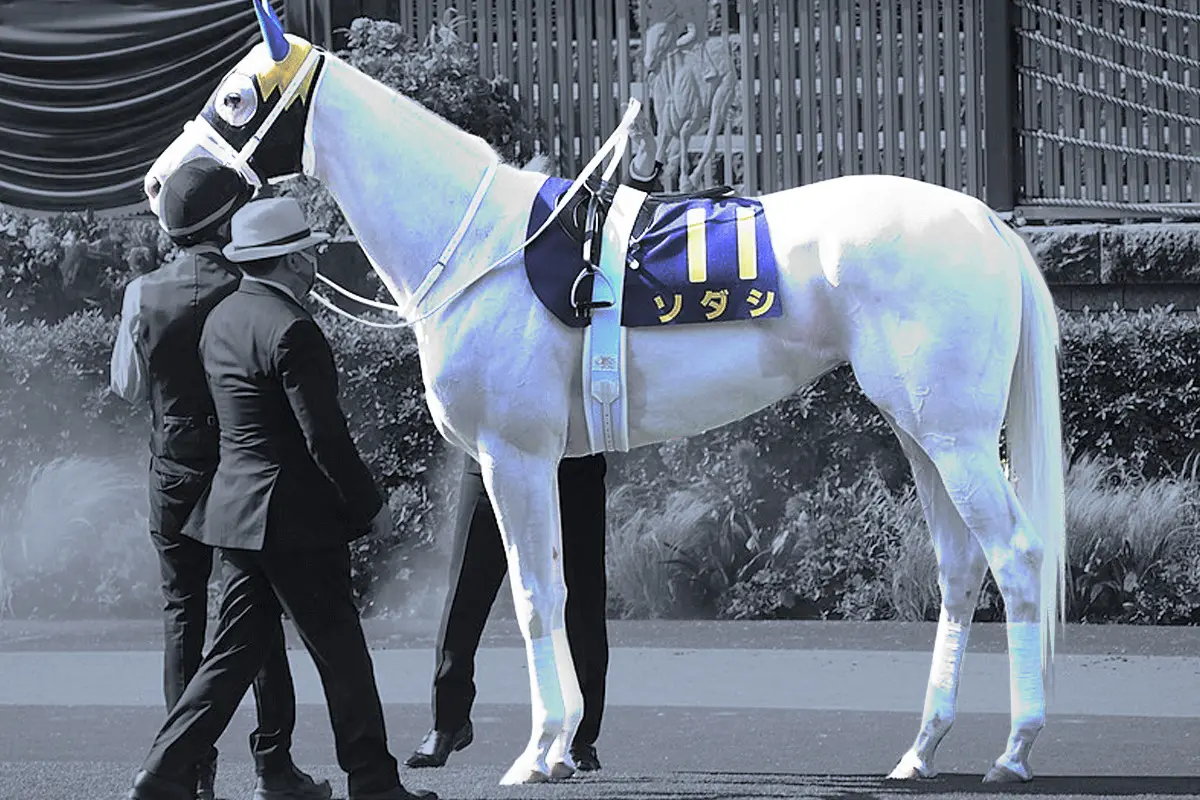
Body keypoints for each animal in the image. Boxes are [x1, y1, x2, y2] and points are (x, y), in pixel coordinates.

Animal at [143, 0, 1066, 787]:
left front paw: (538, 751)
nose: (155, 184)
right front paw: (559, 745)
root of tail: (986, 221)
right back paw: (921, 750)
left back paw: (1016, 749)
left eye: (235, 96)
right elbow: (548, 589)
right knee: (959, 569)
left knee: (1017, 558)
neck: (482, 246)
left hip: (954, 438)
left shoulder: (514, 458)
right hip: (923, 432)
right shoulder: (536, 463)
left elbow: (532, 598)